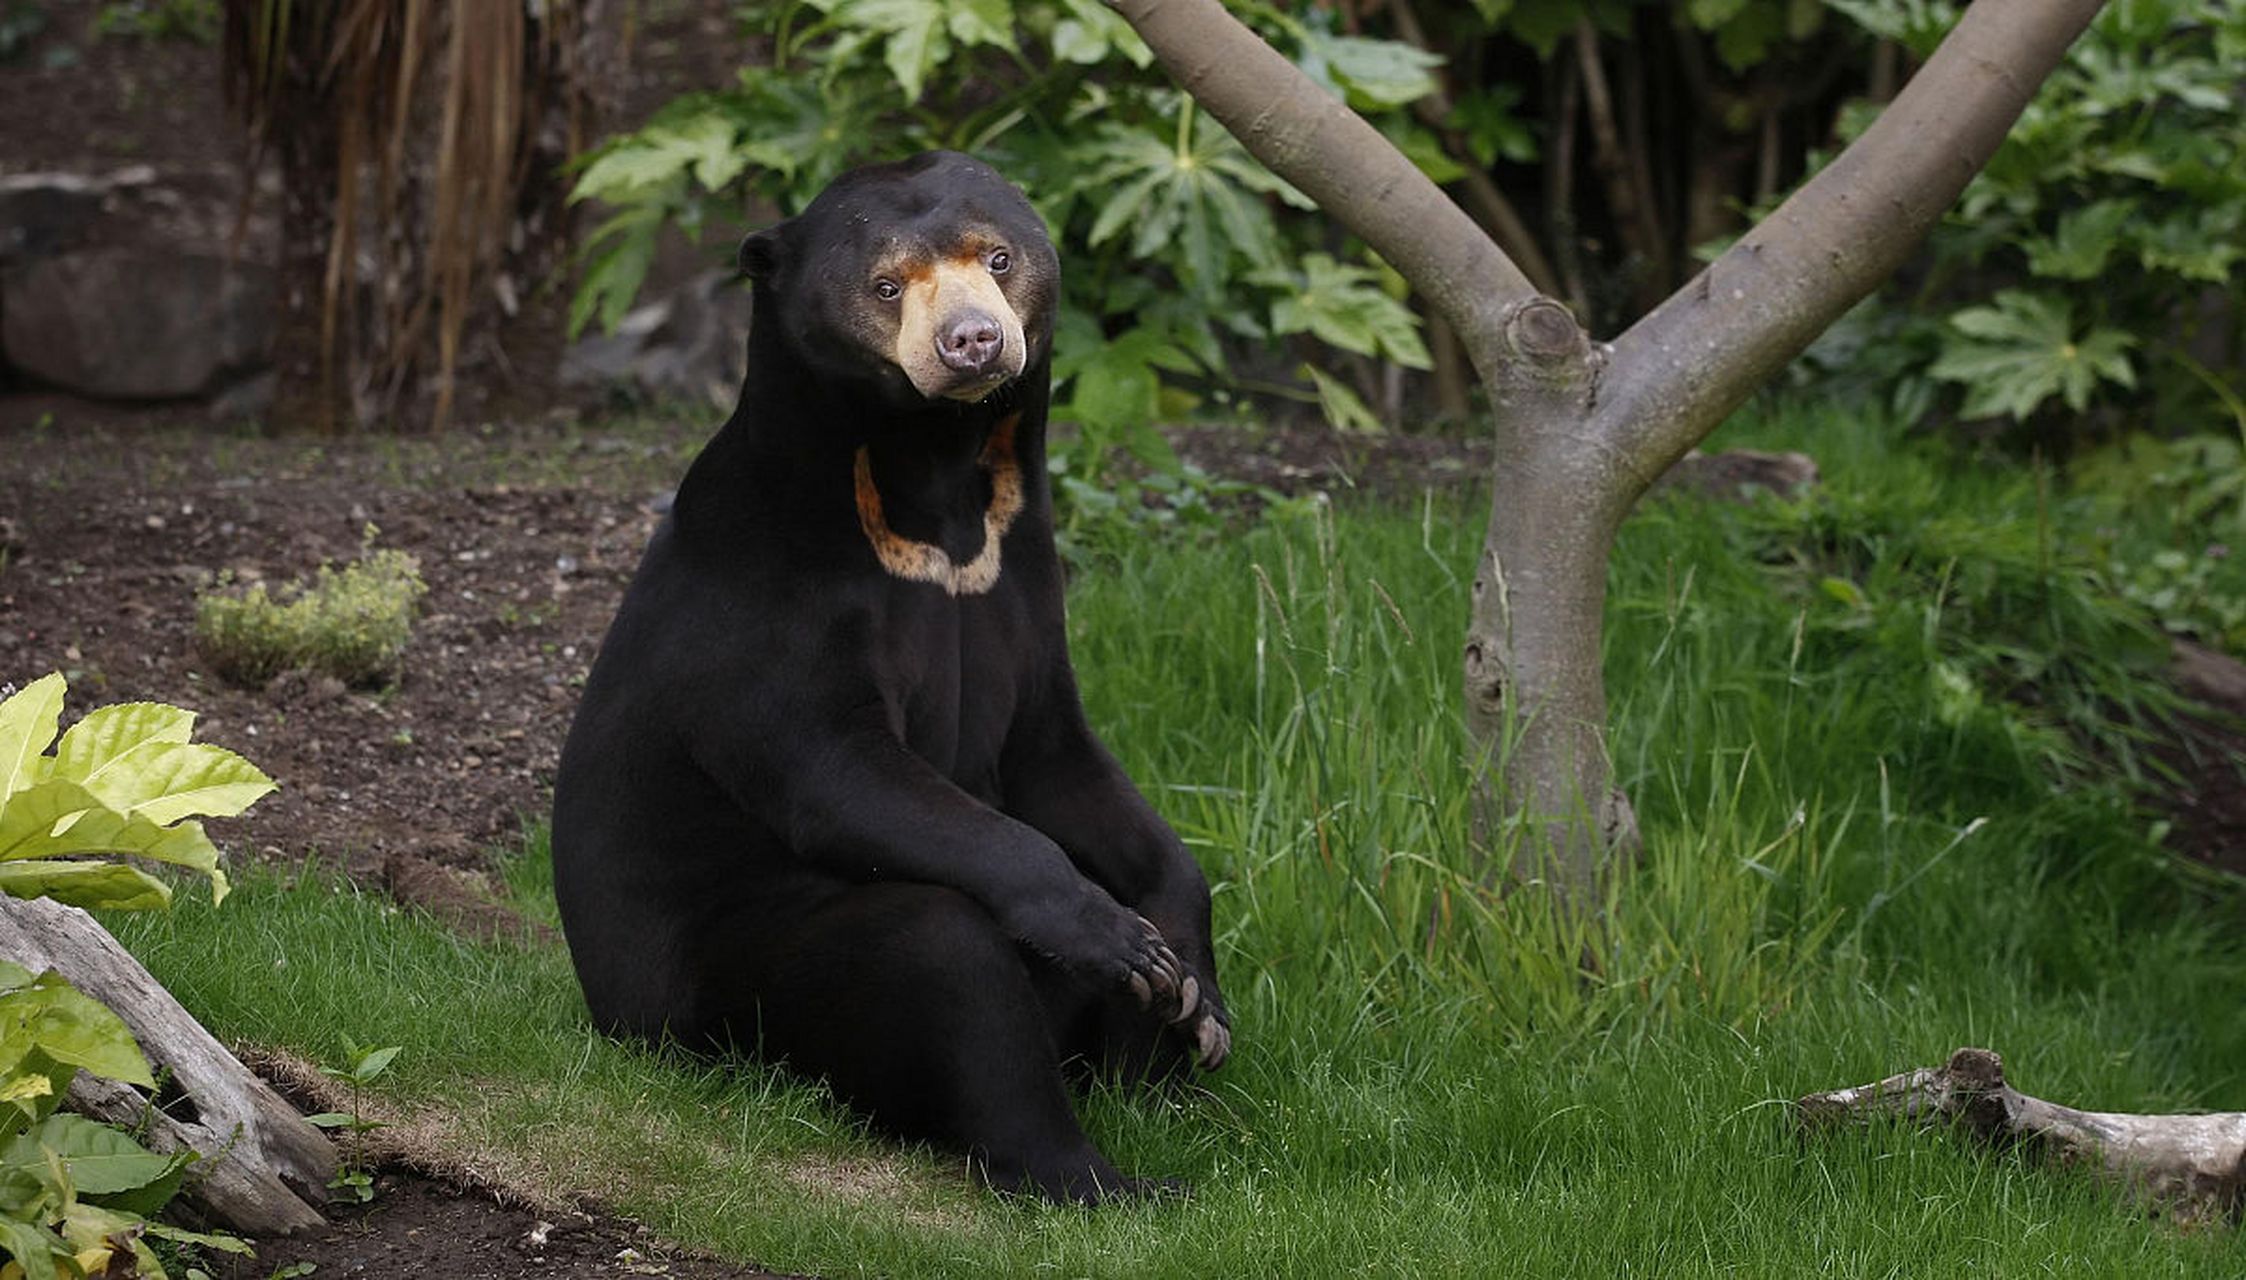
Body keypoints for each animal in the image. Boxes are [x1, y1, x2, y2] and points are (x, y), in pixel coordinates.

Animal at [554, 154, 1239, 1203]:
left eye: (998, 258)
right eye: (885, 286)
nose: (974, 342)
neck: (934, 475)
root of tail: (620, 1019)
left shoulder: (1023, 574)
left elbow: (1058, 756)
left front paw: (1187, 979)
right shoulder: (767, 595)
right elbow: (836, 767)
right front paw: (1112, 934)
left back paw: (1162, 1084)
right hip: (720, 993)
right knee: (940, 956)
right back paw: (1104, 1180)